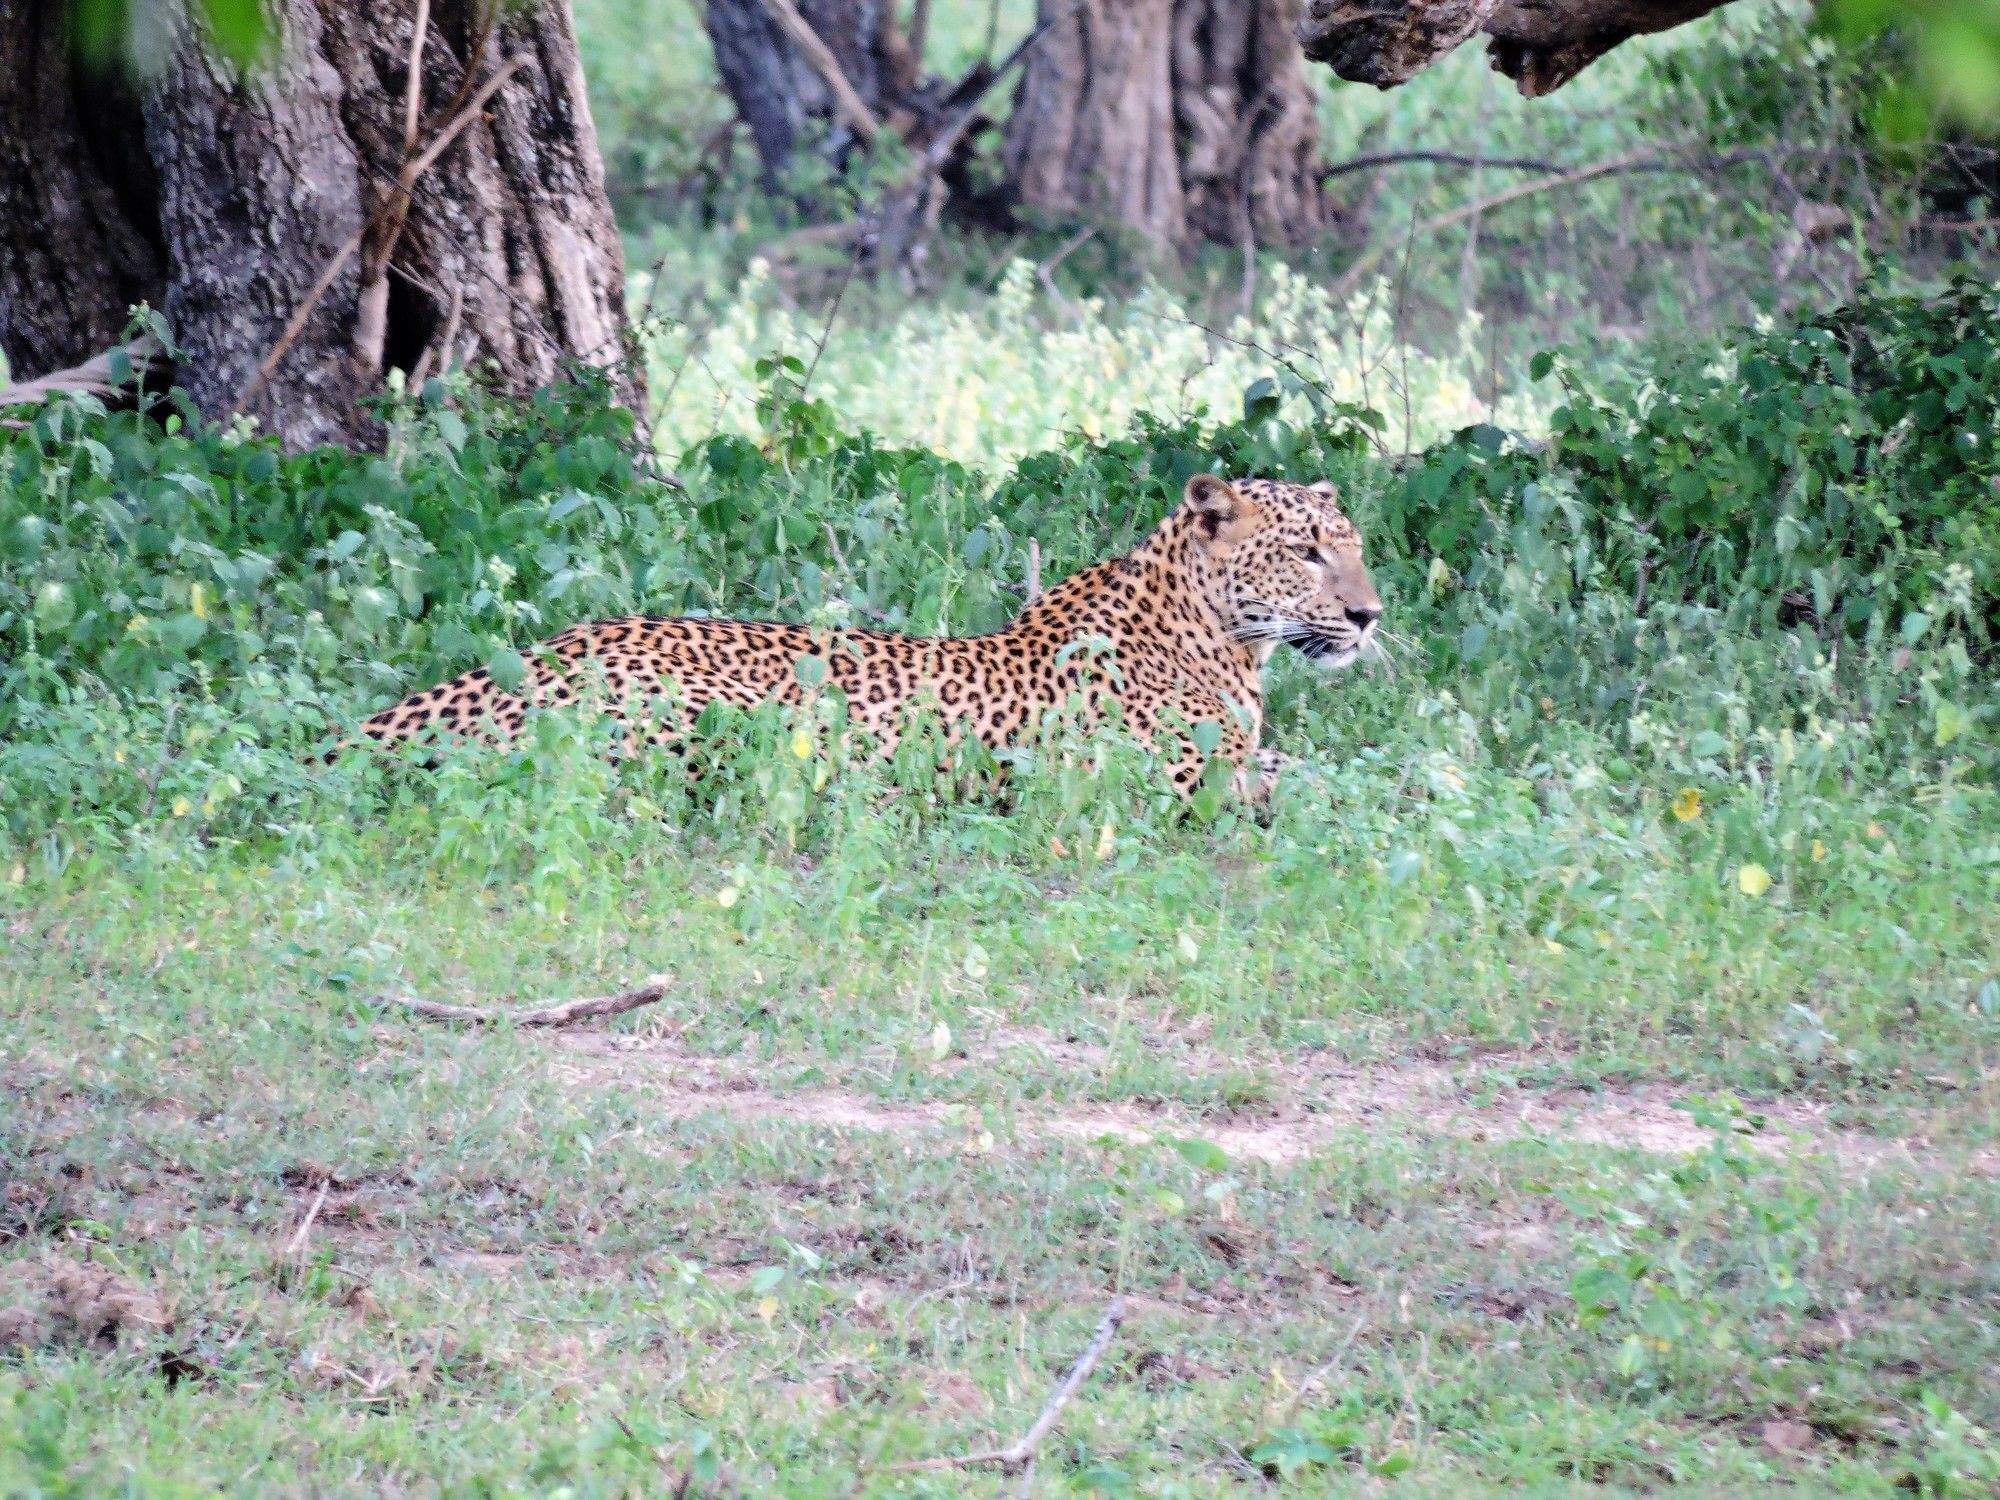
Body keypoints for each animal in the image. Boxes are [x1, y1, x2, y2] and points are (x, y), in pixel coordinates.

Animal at [352, 476, 1384, 804]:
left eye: (1357, 548)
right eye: (1306, 553)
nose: (1370, 616)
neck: (1226, 640)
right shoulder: (1175, 780)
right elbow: (1300, 782)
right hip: (712, 726)